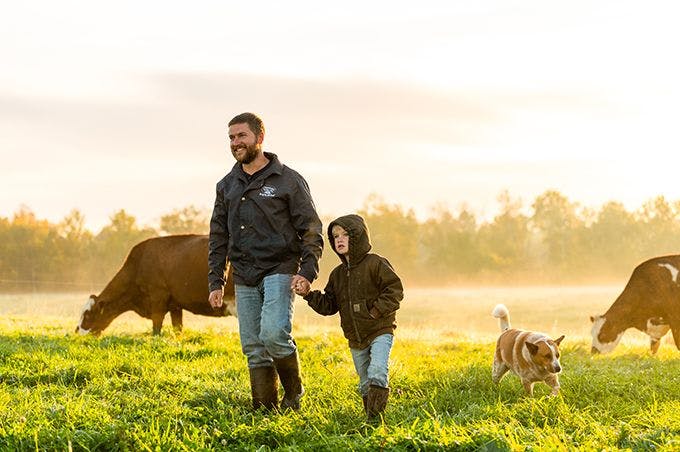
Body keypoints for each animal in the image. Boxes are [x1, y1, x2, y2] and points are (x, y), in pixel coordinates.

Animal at [75, 233, 236, 336]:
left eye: (87, 315)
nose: (77, 331)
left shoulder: (158, 297)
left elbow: (156, 326)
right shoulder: (175, 305)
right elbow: (178, 327)